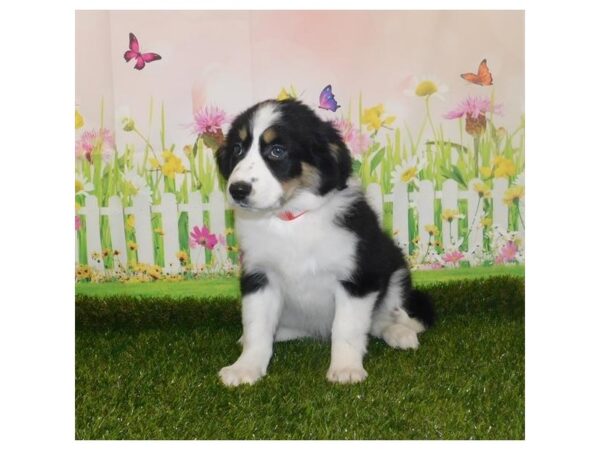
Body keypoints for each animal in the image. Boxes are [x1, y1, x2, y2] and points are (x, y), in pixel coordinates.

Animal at [216, 99, 436, 386]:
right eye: (238, 149)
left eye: (277, 151)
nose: (238, 190)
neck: (291, 219)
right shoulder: (259, 275)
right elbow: (257, 327)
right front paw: (245, 368)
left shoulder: (357, 276)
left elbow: (347, 327)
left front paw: (345, 369)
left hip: (395, 270)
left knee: (382, 318)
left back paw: (400, 333)